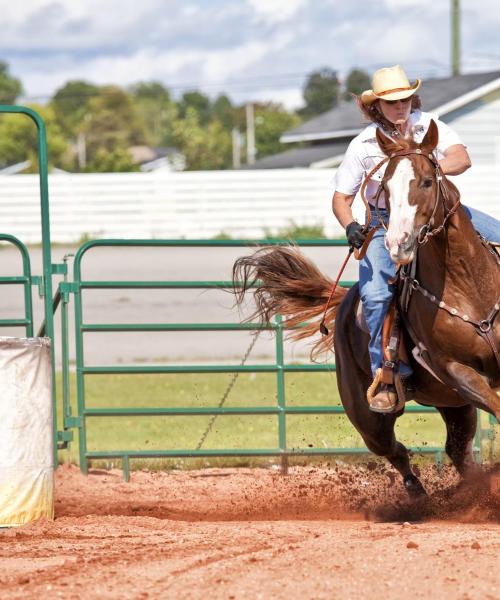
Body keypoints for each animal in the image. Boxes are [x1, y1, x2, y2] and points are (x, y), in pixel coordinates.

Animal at [234, 120, 500, 496]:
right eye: (385, 186)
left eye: (427, 181)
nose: (398, 242)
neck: (470, 289)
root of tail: (346, 299)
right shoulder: (456, 370)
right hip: (368, 414)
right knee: (396, 451)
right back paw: (419, 494)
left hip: (453, 403)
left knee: (457, 452)